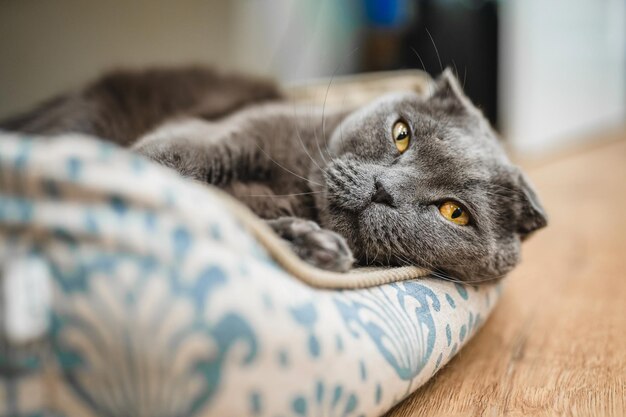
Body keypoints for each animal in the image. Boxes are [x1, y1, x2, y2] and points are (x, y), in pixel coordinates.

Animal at [0, 66, 544, 282]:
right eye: (401, 134)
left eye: (455, 213)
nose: (382, 190)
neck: (294, 190)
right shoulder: (220, 133)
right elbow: (172, 166)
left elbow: (236, 218)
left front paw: (314, 246)